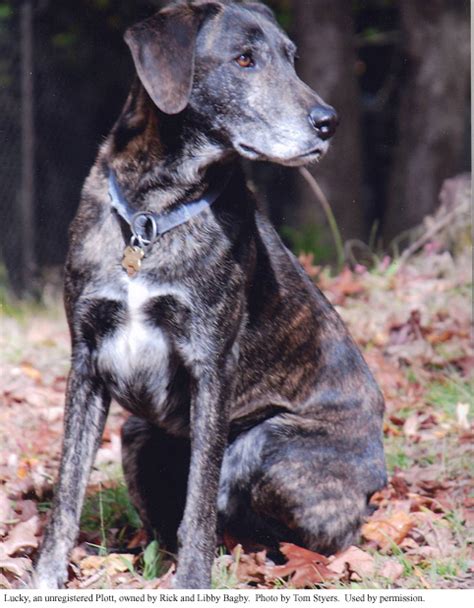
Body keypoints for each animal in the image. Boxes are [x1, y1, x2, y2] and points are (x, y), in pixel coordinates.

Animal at [35, 0, 386, 588]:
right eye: (244, 59)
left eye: (291, 58)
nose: (328, 122)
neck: (153, 214)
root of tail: (378, 483)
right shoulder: (86, 360)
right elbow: (67, 487)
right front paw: (42, 577)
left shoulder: (208, 367)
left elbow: (198, 504)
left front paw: (194, 583)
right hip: (137, 432)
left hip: (274, 450)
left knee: (297, 530)